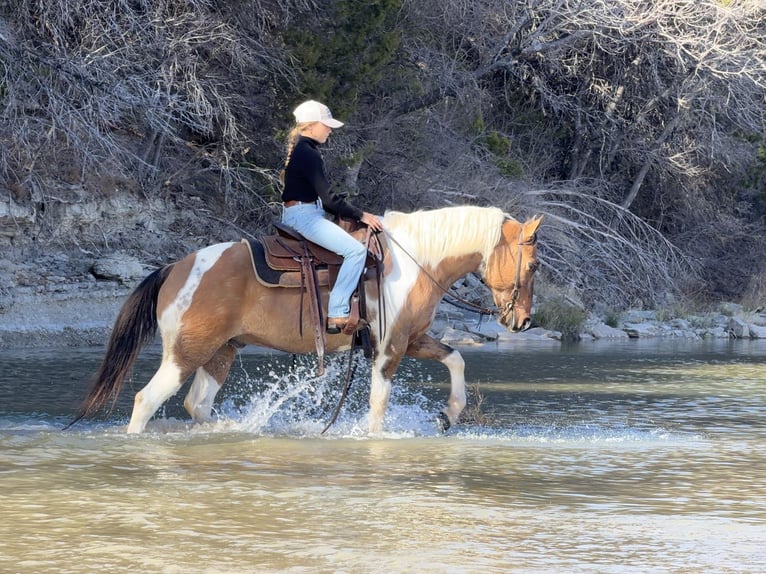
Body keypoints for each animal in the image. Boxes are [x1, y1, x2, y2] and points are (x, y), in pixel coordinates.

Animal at [71, 205, 542, 434]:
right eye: (535, 265)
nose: (522, 323)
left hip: (219, 353)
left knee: (197, 405)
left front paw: (449, 415)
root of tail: (175, 268)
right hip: (185, 355)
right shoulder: (388, 350)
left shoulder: (412, 339)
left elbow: (456, 359)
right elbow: (377, 406)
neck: (414, 260)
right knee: (146, 402)